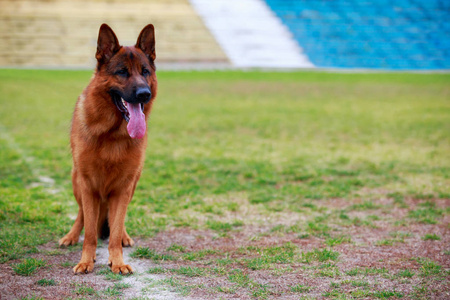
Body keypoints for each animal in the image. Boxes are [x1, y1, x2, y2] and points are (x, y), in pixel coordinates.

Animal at [59, 24, 158, 274]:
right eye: (122, 72)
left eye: (145, 71)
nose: (144, 94)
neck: (112, 134)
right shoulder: (87, 186)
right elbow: (90, 232)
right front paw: (86, 260)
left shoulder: (123, 188)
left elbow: (115, 228)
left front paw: (118, 260)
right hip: (76, 181)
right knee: (82, 216)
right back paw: (71, 236)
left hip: (132, 185)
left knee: (116, 223)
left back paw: (123, 236)